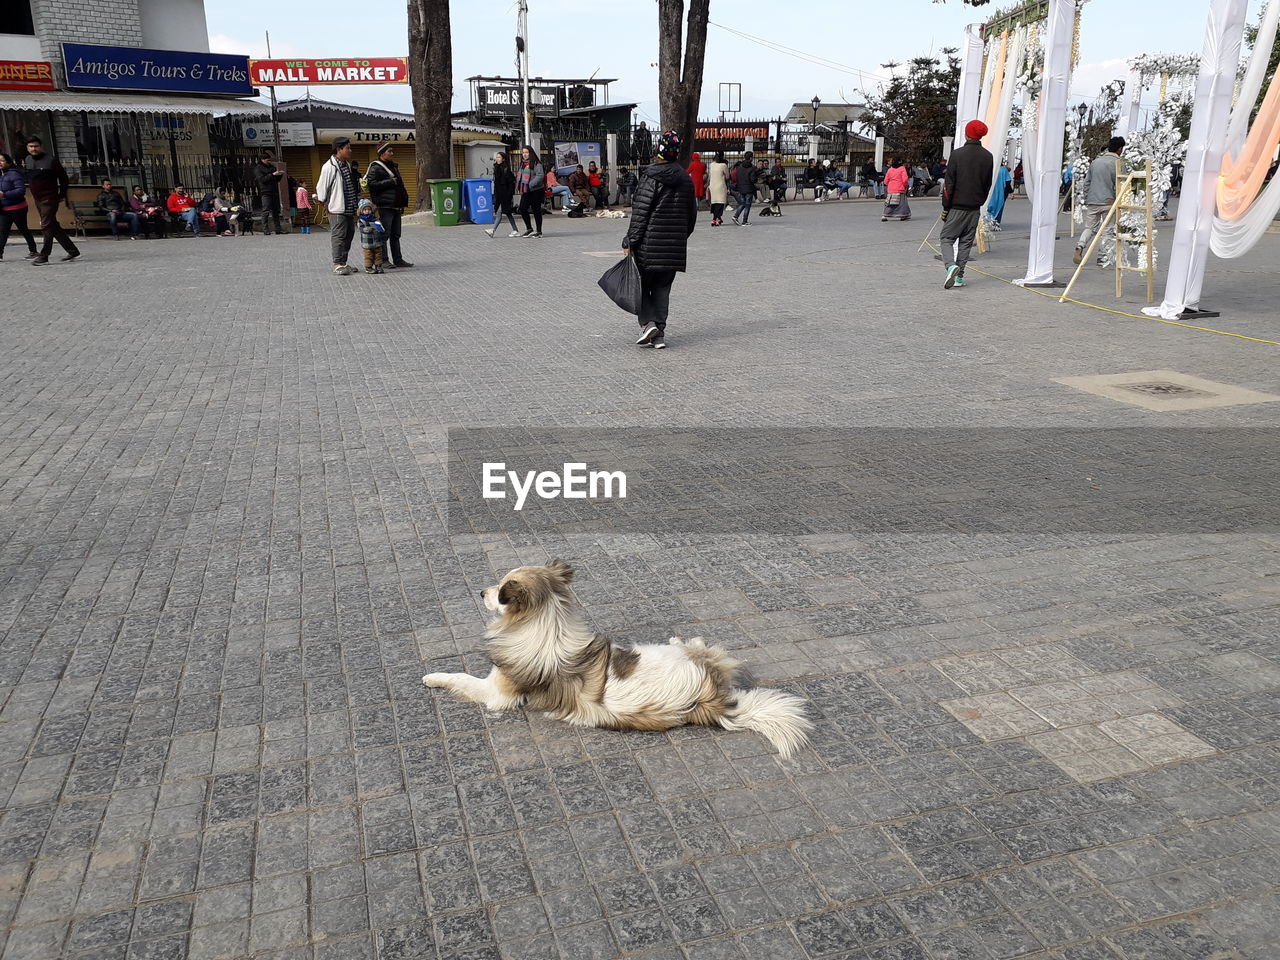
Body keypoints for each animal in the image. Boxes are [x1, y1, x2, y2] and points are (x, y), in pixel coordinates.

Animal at [424, 563, 814, 757]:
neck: (546, 621)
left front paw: (433, 676)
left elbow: (461, 678)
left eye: (500, 589)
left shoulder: (498, 693)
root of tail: (712, 701)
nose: (480, 592)